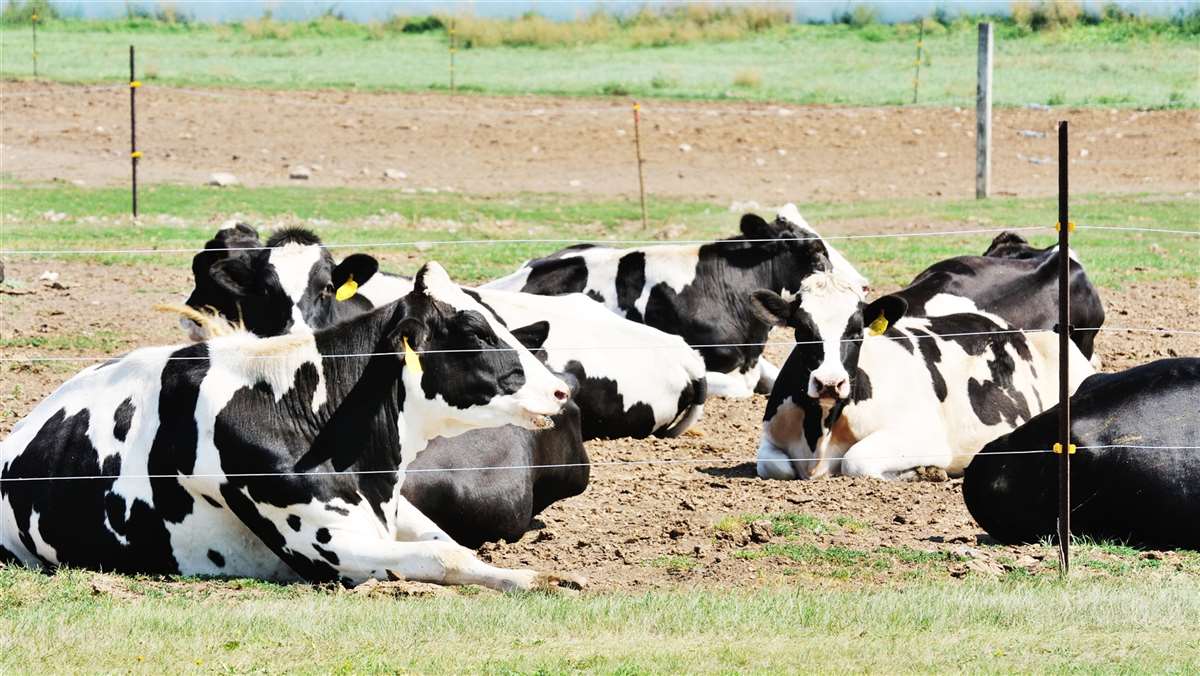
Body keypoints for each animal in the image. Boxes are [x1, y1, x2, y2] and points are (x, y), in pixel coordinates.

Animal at [1, 263, 586, 592]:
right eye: (472, 329)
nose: (561, 391)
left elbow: (455, 546)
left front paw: (538, 576)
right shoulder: (328, 549)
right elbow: (438, 554)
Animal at [751, 264, 1094, 480]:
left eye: (856, 330)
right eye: (802, 329)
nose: (829, 383)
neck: (818, 433)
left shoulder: (926, 437)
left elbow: (856, 460)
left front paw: (922, 472)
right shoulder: (770, 439)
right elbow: (775, 466)